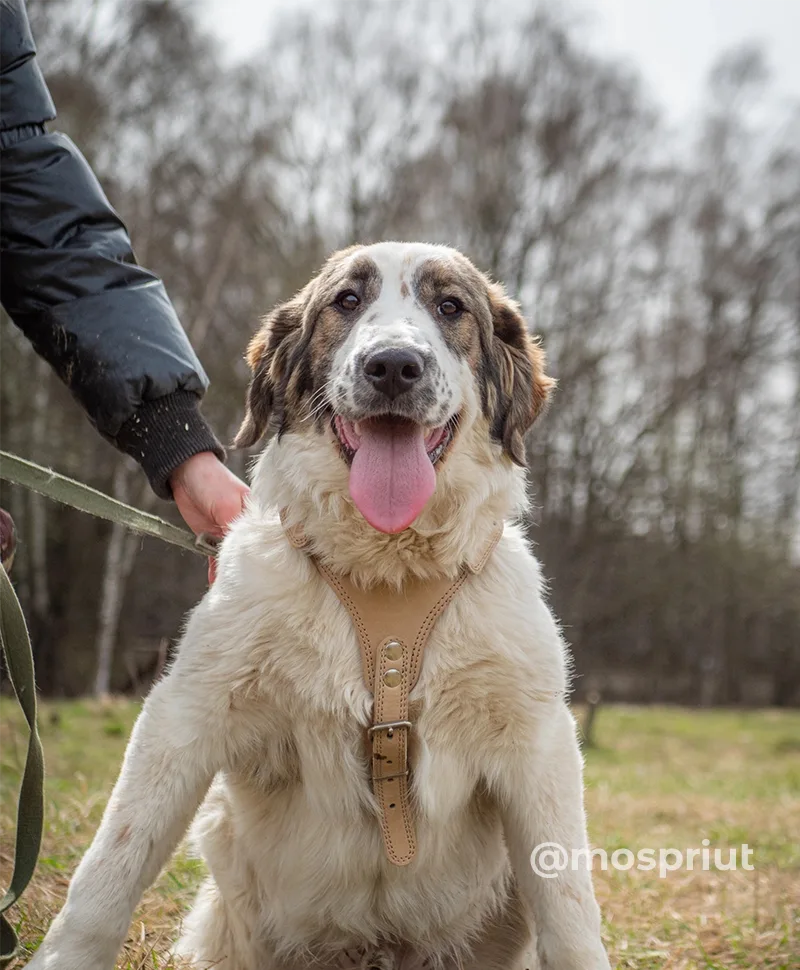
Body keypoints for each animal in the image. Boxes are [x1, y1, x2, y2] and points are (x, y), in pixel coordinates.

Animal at [28, 244, 608, 968]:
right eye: (347, 302)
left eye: (450, 307)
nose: (393, 365)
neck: (387, 571)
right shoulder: (185, 713)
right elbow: (112, 864)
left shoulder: (536, 742)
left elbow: (568, 904)